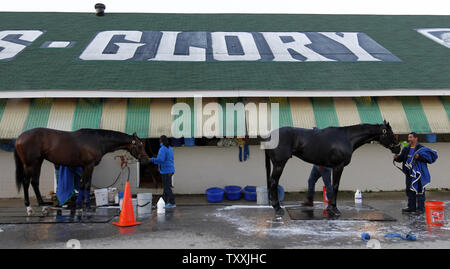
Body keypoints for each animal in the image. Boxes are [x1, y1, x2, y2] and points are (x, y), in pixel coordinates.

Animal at [12, 126, 148, 213]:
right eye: (140, 146)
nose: (146, 159)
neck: (97, 140)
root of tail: (19, 138)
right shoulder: (89, 165)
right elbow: (87, 185)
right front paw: (87, 206)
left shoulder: (83, 166)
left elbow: (82, 185)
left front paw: (79, 205)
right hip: (30, 164)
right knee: (26, 182)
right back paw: (29, 207)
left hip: (38, 162)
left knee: (35, 182)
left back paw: (43, 206)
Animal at [264, 121, 400, 216]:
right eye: (391, 134)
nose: (398, 149)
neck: (347, 138)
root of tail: (269, 136)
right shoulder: (338, 167)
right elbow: (335, 186)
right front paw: (335, 209)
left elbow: (330, 186)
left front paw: (330, 208)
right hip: (279, 164)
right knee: (273, 182)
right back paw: (278, 209)